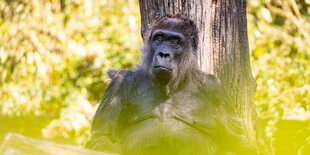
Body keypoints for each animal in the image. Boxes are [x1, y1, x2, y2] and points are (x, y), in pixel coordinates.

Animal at [85, 13, 256, 154]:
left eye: (175, 42)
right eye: (159, 39)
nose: (163, 54)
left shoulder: (215, 88)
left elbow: (236, 142)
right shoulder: (120, 83)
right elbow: (103, 137)